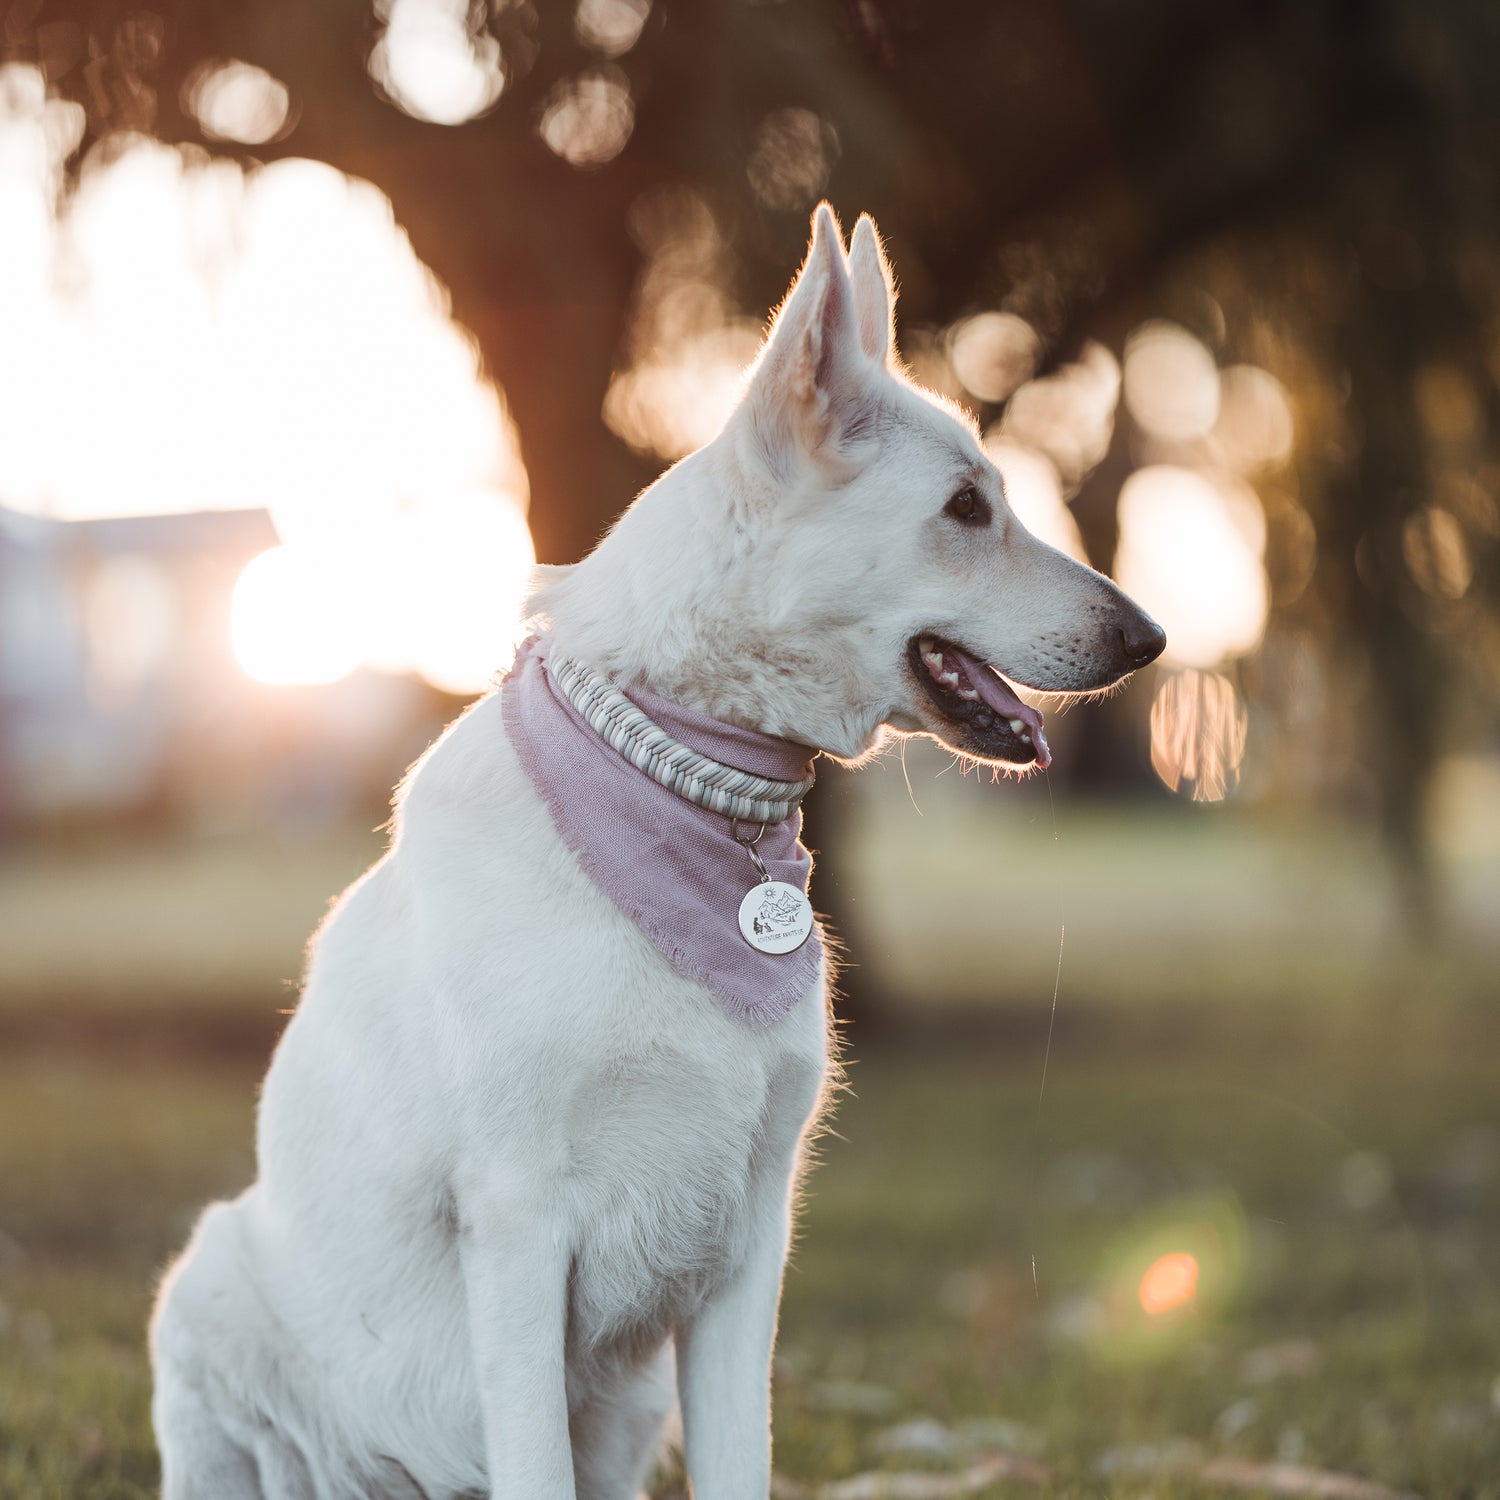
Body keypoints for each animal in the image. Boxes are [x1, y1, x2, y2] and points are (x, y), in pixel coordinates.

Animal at [149, 202, 1158, 1500]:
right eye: (967, 509)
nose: (1152, 638)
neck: (683, 789)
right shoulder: (519, 1225)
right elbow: (533, 1459)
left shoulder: (746, 1246)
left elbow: (741, 1462)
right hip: (210, 1282)